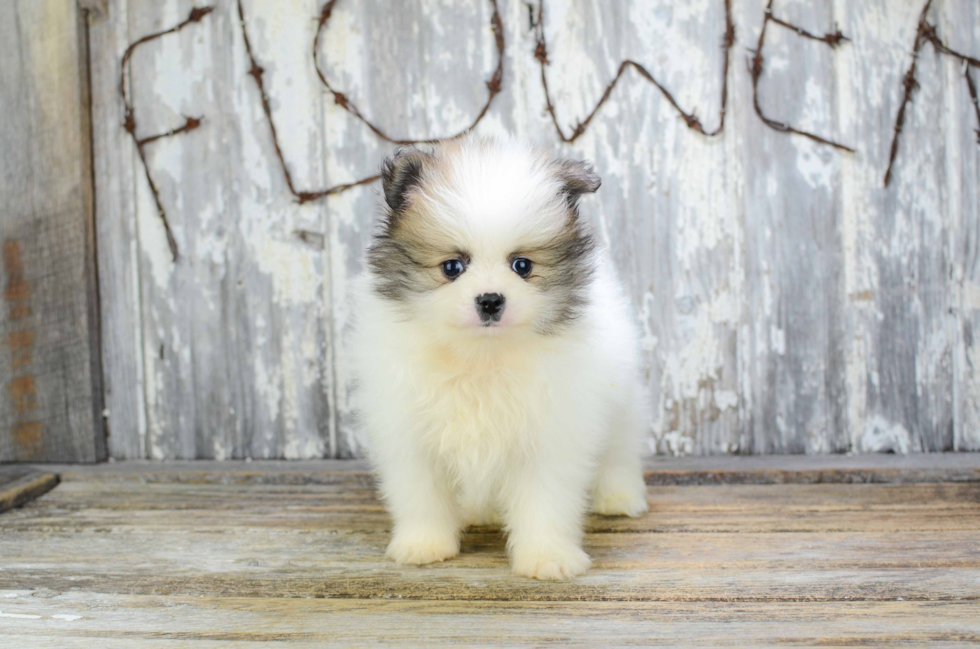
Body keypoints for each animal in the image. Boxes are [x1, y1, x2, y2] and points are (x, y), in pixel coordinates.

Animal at [348, 135, 648, 576]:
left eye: (522, 265)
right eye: (452, 267)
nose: (490, 300)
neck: (481, 356)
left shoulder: (551, 435)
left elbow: (546, 502)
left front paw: (547, 557)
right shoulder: (410, 433)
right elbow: (422, 495)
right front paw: (424, 544)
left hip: (621, 402)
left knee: (619, 452)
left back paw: (620, 499)